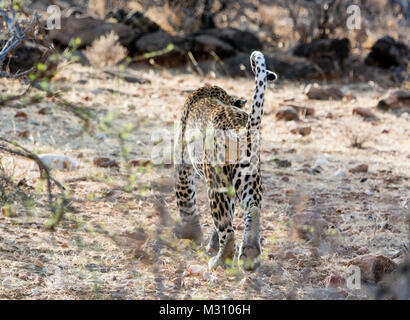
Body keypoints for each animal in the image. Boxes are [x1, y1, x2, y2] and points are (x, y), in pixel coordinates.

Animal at [175, 52, 278, 270]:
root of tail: (242, 130)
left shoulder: (183, 167)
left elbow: (186, 204)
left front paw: (190, 235)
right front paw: (211, 244)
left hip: (216, 182)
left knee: (227, 228)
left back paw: (221, 260)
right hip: (248, 178)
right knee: (252, 210)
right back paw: (249, 254)